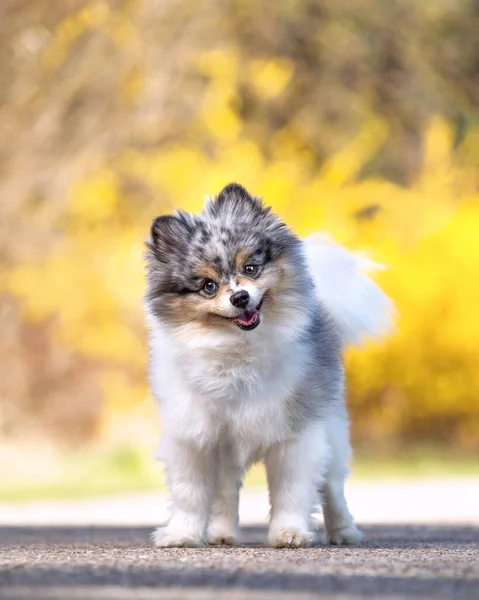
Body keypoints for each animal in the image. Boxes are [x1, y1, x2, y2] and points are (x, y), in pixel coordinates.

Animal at [146, 182, 394, 548]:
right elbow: (190, 493)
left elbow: (291, 491)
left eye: (250, 268)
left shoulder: (295, 433)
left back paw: (344, 531)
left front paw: (289, 533)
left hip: (333, 430)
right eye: (208, 286)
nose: (240, 297)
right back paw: (222, 534)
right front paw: (182, 534)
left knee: (333, 488)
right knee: (226, 491)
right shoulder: (194, 437)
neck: (237, 350)